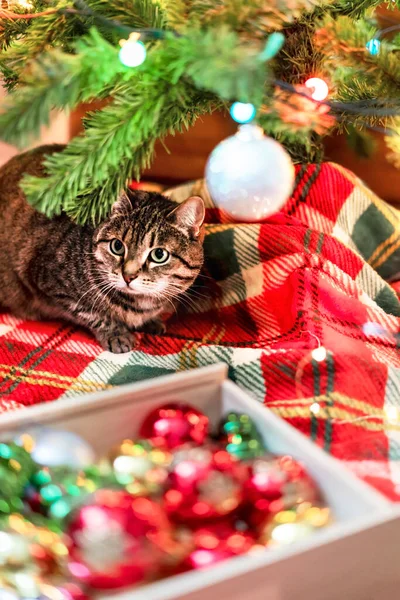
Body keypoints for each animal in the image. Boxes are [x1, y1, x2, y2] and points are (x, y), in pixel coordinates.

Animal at [0, 145, 206, 352]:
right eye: (117, 246)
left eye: (159, 254)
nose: (128, 276)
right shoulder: (52, 284)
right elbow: (93, 314)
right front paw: (117, 334)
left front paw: (150, 321)